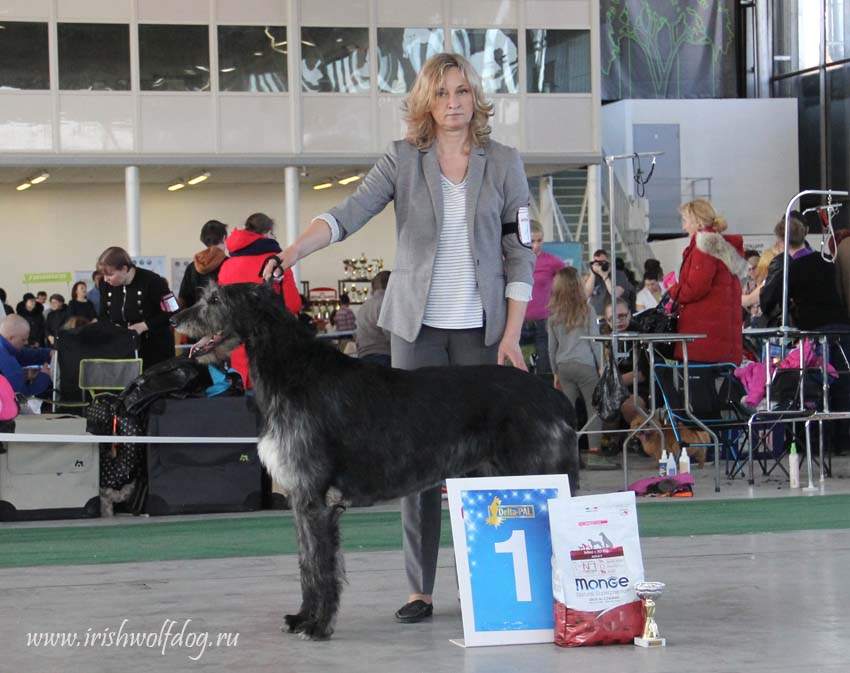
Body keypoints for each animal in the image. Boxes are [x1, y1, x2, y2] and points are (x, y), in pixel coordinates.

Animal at [169, 284, 580, 640]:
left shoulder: (316, 498)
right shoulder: (301, 498)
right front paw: (302, 617)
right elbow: (306, 562)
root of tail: (555, 396)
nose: (175, 318)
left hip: (540, 476)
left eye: (215, 299)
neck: (293, 373)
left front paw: (318, 626)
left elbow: (321, 565)